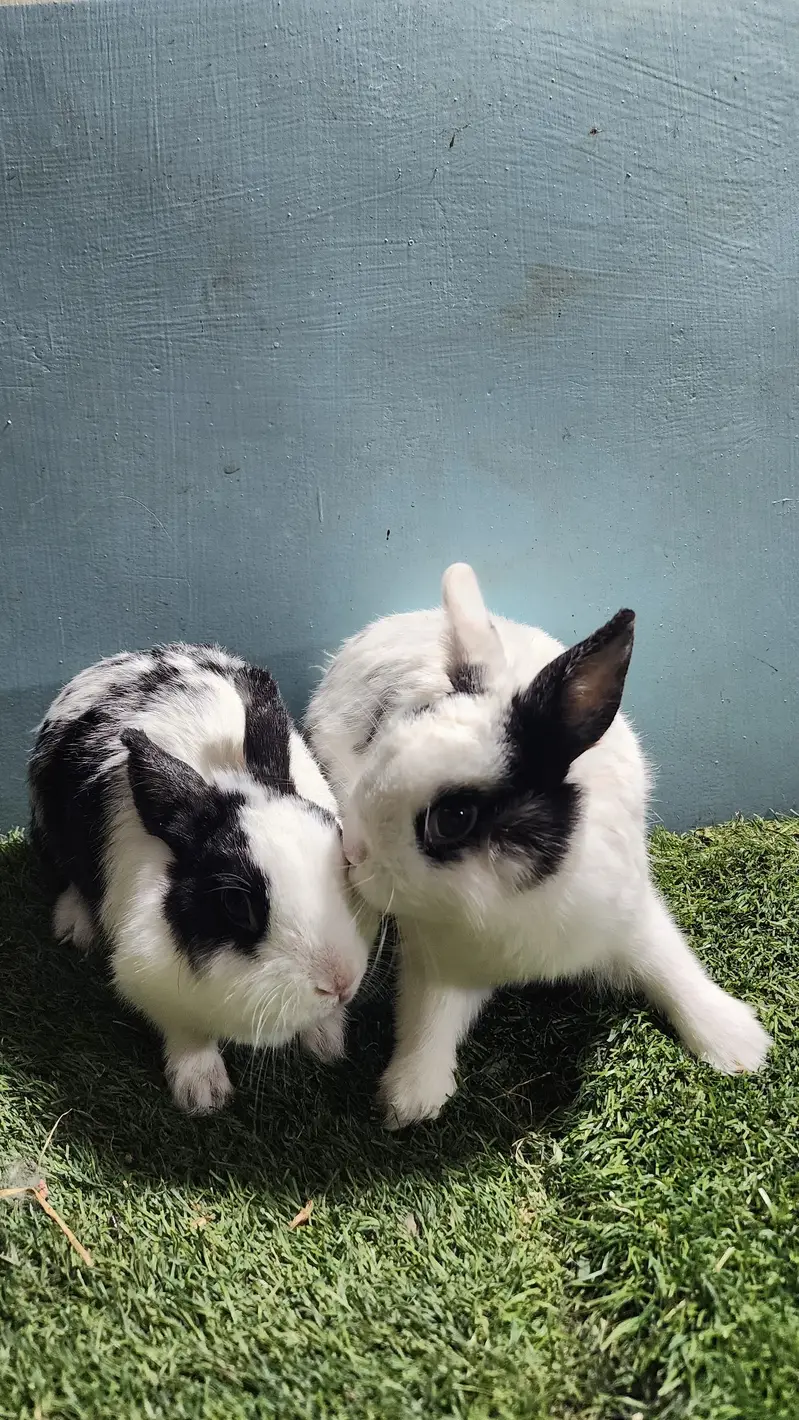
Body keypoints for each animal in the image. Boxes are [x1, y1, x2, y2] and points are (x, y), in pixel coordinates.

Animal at [29, 643, 370, 1114]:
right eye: (235, 904)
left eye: (340, 858)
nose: (339, 983)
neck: (220, 776)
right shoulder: (151, 978)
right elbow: (187, 1031)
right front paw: (203, 1093)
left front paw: (327, 1043)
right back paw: (75, 926)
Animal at [306, 563, 772, 1128]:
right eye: (384, 751)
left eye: (453, 819)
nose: (354, 853)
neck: (508, 900)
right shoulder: (436, 960)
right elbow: (427, 1018)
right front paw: (411, 1098)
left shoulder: (632, 920)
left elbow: (672, 969)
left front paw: (738, 1045)